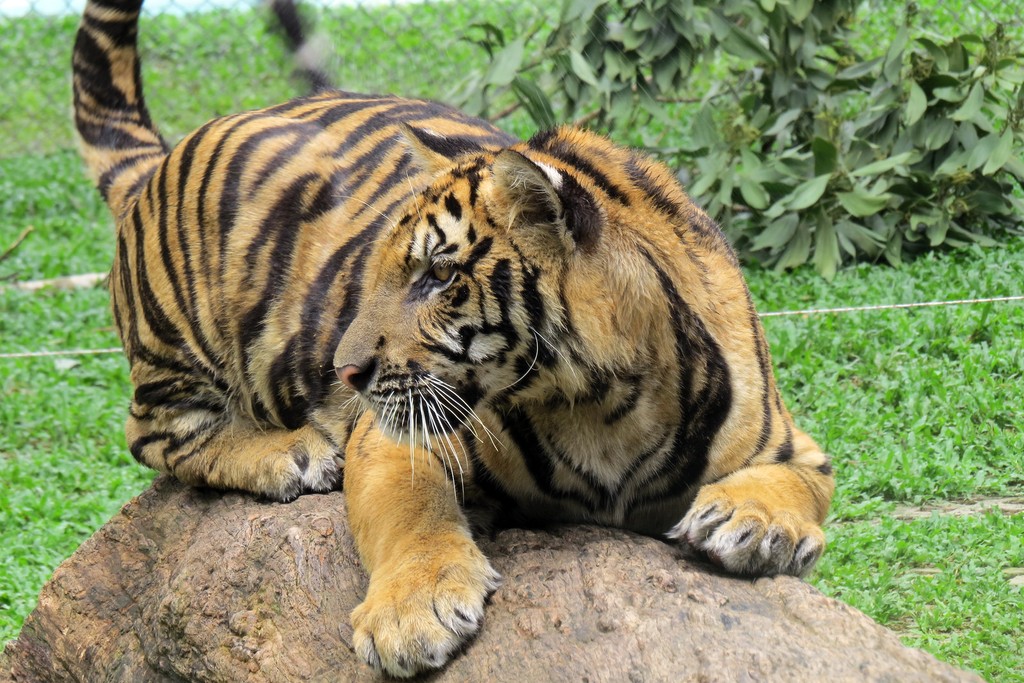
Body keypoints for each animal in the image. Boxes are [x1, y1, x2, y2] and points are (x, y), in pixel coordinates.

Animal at [73, 0, 835, 677]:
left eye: (438, 275)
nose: (345, 372)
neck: (606, 405)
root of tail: (164, 161)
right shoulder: (388, 435)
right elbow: (411, 513)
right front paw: (411, 615)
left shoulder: (795, 446)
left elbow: (797, 484)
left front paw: (753, 523)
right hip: (178, 340)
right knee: (155, 434)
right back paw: (292, 454)